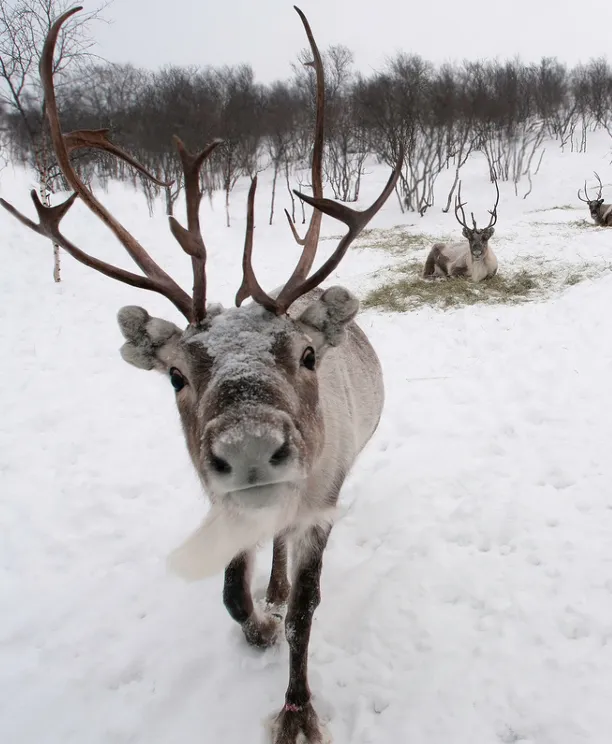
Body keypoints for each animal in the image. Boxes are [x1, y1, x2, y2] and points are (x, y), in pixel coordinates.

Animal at [0, 6, 403, 743]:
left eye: (306, 355)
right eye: (175, 376)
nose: (249, 449)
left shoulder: (322, 500)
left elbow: (307, 610)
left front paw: (297, 709)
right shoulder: (222, 500)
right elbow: (229, 591)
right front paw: (258, 623)